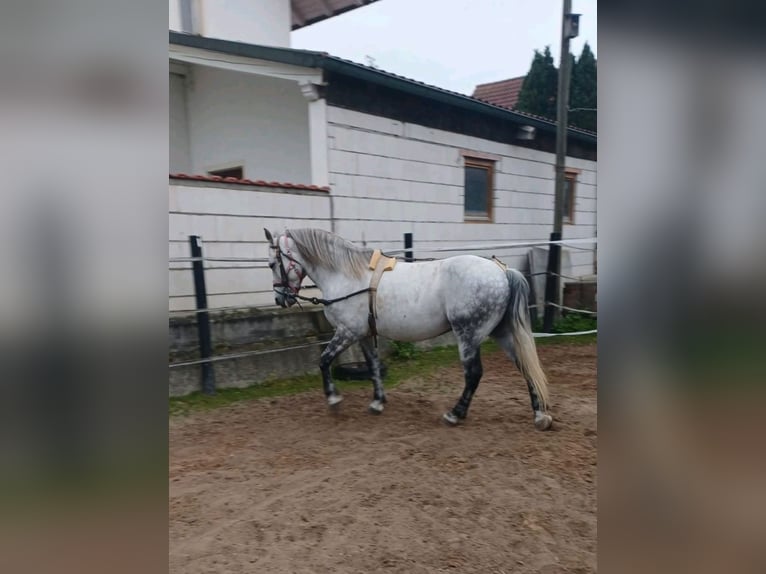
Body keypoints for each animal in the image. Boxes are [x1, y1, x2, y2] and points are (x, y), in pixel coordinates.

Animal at [264, 227, 553, 430]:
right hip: (501, 333)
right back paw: (540, 415)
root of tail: (501, 271)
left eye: (271, 263)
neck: (347, 275)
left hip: (468, 336)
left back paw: (454, 414)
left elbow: (323, 361)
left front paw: (334, 401)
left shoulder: (347, 332)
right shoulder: (363, 335)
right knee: (525, 366)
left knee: (474, 374)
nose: (280, 299)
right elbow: (372, 366)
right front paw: (377, 402)